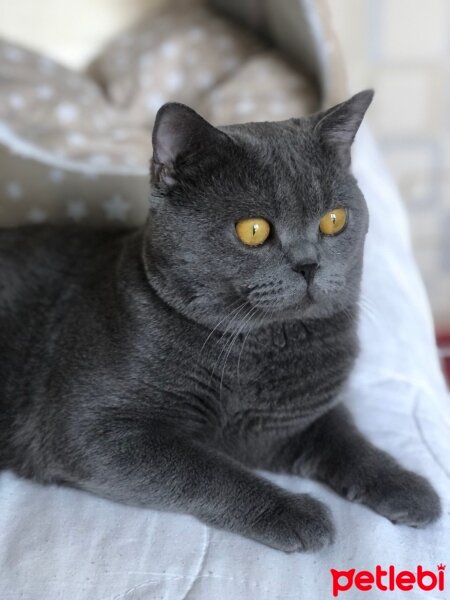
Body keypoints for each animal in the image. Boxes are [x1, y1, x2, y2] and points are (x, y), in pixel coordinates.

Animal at [0, 92, 442, 552]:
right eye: (253, 230)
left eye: (334, 220)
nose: (309, 264)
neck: (261, 347)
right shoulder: (91, 429)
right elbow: (207, 468)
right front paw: (297, 513)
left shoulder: (293, 420)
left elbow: (347, 439)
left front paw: (407, 487)